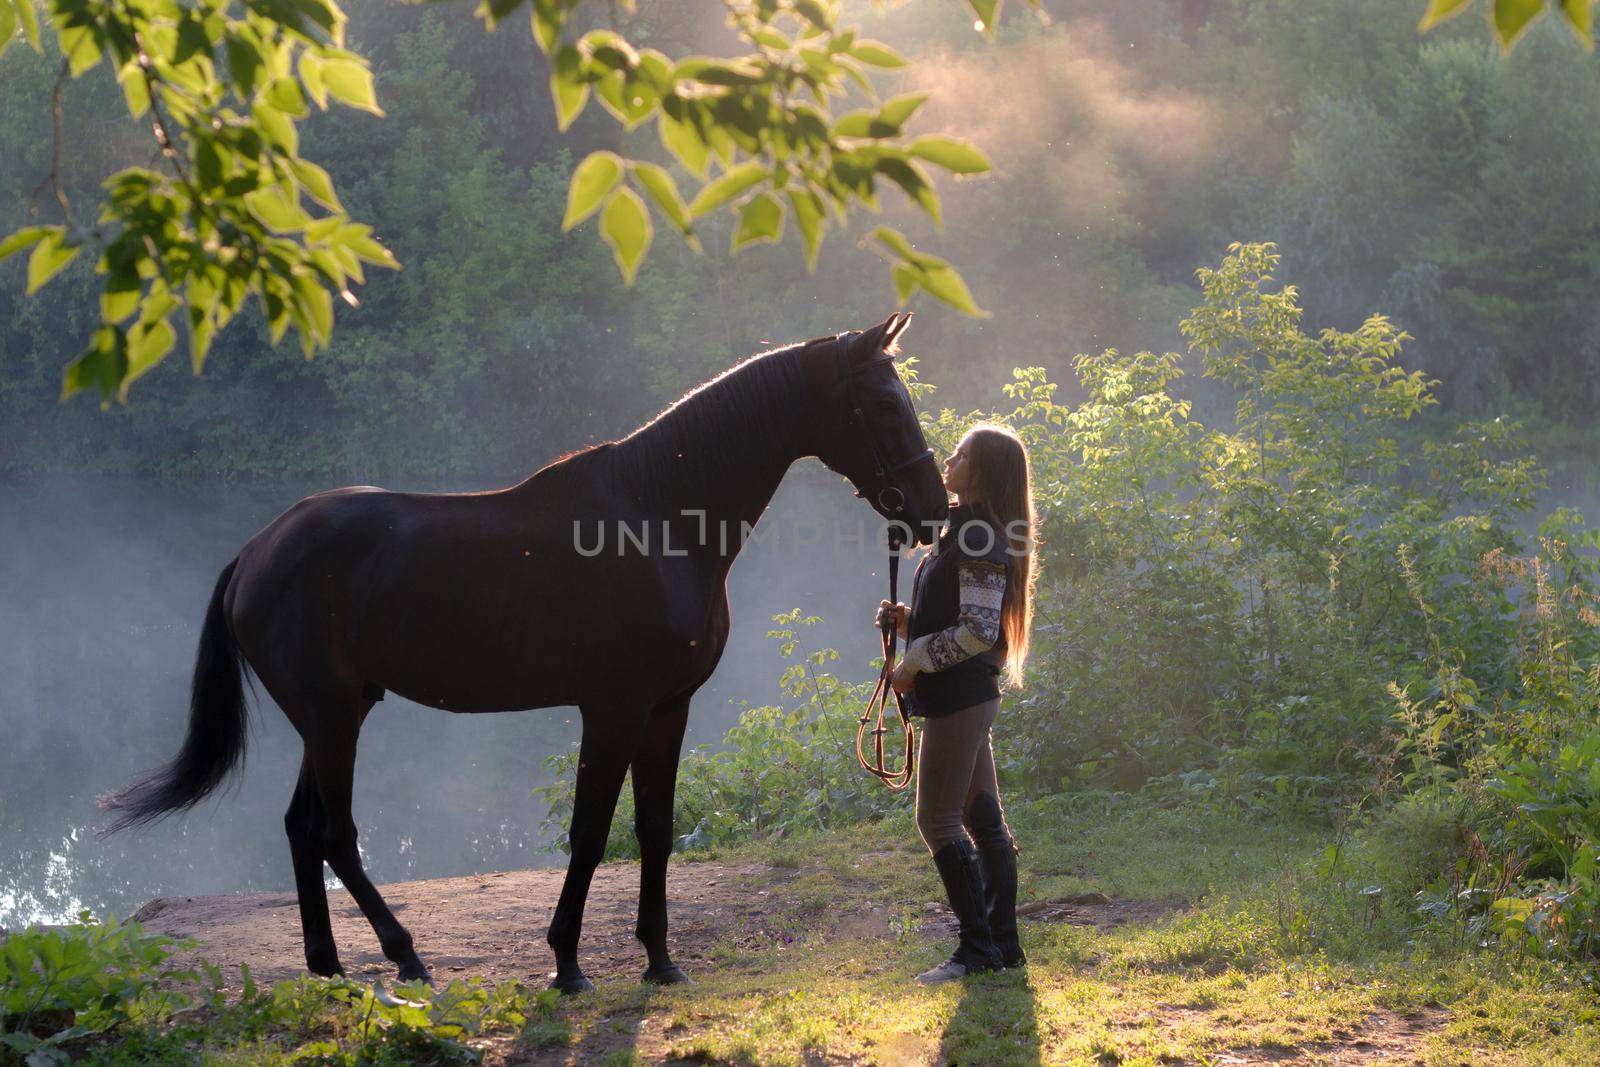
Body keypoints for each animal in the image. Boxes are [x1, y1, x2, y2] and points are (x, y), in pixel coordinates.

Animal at [103, 313, 947, 998]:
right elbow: (590, 832)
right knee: (334, 831)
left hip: (329, 718)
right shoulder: (612, 709)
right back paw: (405, 956)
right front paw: (567, 962)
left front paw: (660, 959)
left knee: (301, 826)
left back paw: (330, 965)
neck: (659, 519)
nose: (934, 512)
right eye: (881, 405)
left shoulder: (667, 709)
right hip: (333, 719)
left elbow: (656, 827)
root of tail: (254, 552)